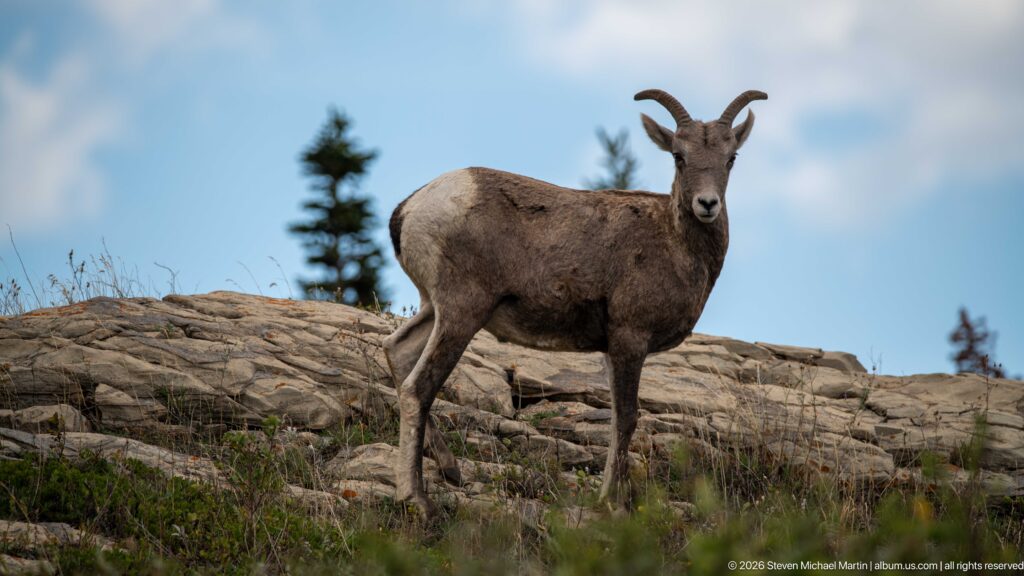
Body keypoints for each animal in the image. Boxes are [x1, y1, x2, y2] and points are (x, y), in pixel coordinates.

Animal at [383, 89, 767, 516]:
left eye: (730, 157)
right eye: (678, 156)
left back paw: (450, 470)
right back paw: (417, 499)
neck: (673, 242)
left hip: (433, 309)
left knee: (396, 350)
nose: (707, 204)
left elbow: (615, 418)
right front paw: (613, 505)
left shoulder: (611, 349)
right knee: (419, 387)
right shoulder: (630, 339)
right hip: (461, 313)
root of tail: (411, 209)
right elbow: (626, 418)